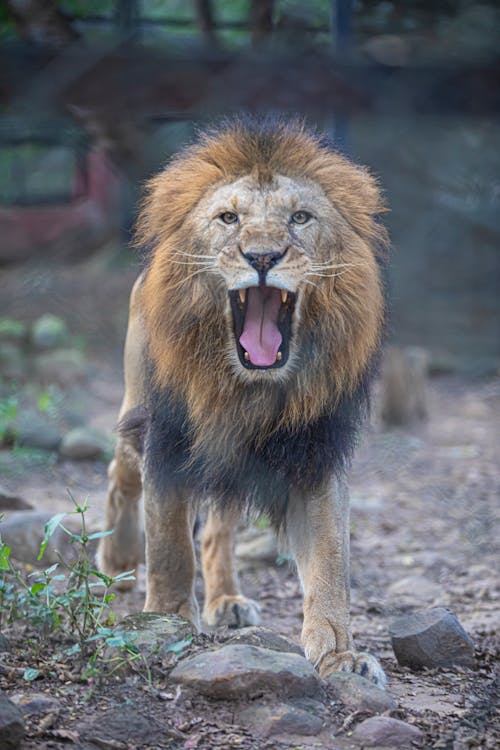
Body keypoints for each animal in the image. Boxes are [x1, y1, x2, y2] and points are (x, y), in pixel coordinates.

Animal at [96, 117, 386, 688]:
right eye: (228, 218)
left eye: (300, 218)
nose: (263, 257)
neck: (247, 389)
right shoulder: (167, 439)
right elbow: (168, 543)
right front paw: (166, 619)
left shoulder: (316, 452)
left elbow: (329, 560)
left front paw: (340, 654)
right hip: (135, 405)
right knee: (122, 474)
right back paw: (117, 555)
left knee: (216, 532)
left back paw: (226, 599)